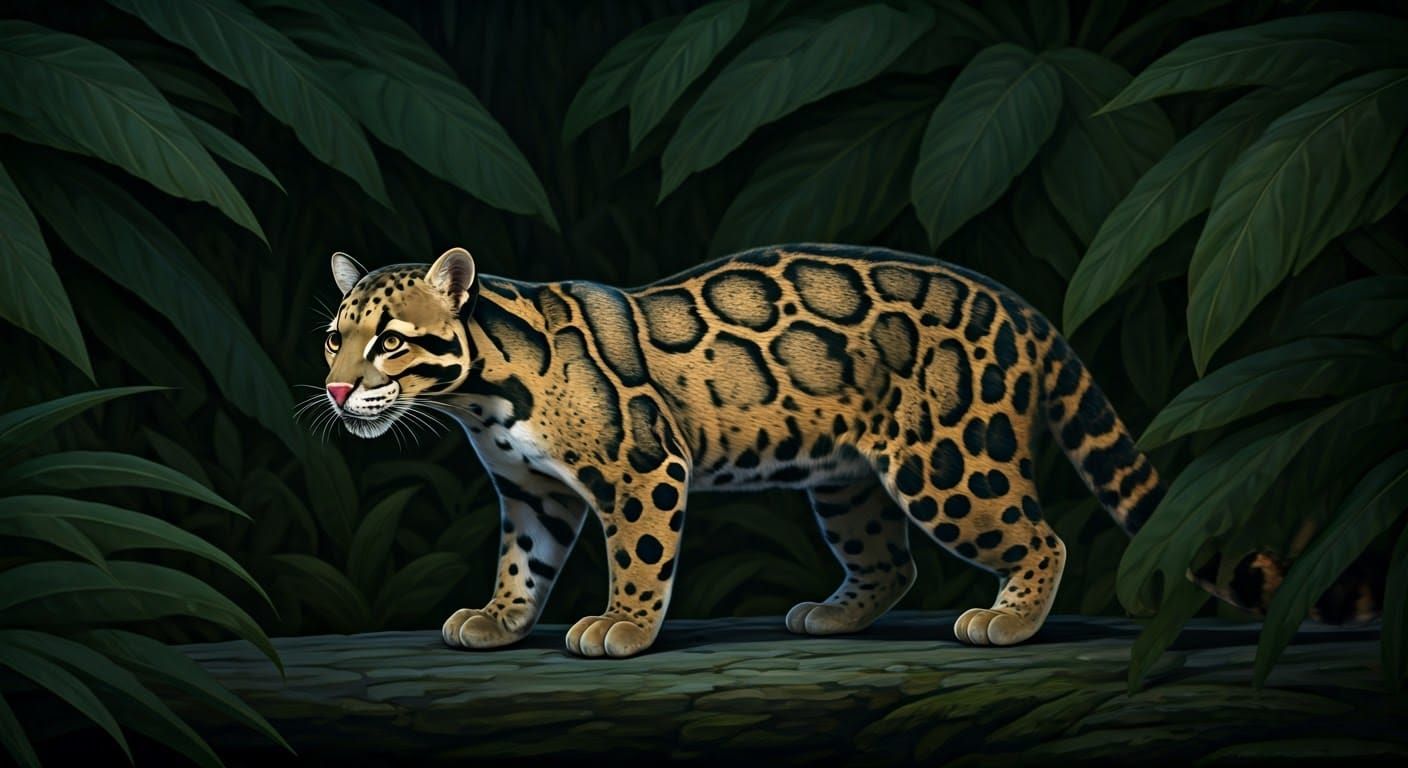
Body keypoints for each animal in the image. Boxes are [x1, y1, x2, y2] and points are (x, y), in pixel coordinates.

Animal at [318, 243, 1296, 659]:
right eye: (334, 337)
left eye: (392, 342)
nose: (332, 390)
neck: (483, 396)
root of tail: (1023, 308)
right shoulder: (532, 494)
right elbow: (522, 564)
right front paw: (499, 620)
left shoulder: (645, 468)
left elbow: (639, 558)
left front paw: (622, 627)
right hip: (850, 480)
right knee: (891, 563)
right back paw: (835, 614)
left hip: (948, 464)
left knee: (1042, 536)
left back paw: (1009, 620)